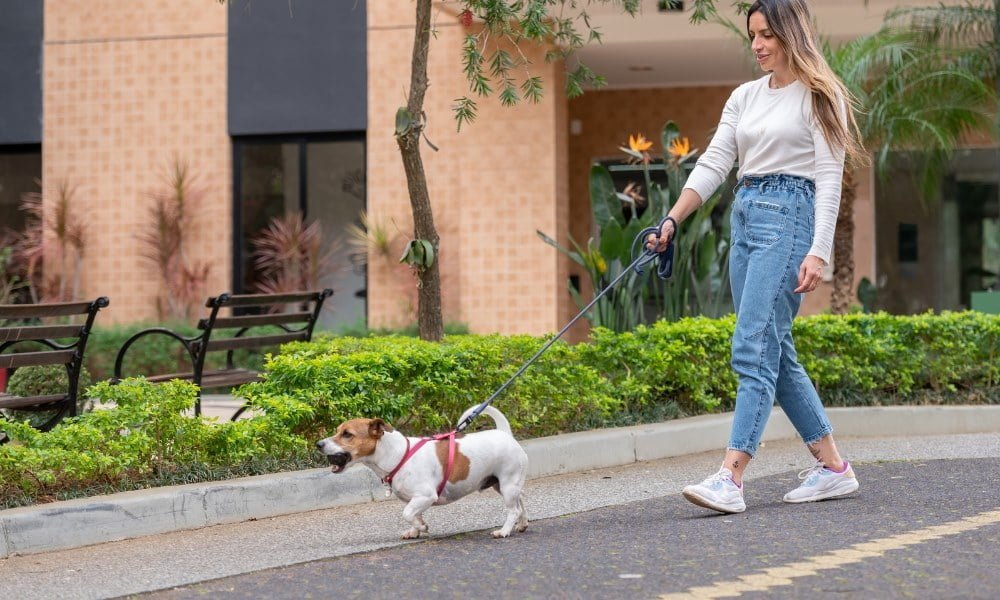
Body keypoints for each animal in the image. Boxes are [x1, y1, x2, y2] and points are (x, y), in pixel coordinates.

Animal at [316, 408, 528, 540]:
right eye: (337, 431)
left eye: (347, 434)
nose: (318, 444)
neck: (398, 454)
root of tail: (505, 433)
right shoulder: (416, 499)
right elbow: (414, 513)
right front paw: (415, 529)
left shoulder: (426, 495)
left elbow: (407, 513)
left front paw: (422, 527)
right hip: (501, 484)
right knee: (520, 504)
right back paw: (522, 524)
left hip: (507, 484)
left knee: (513, 509)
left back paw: (504, 531)